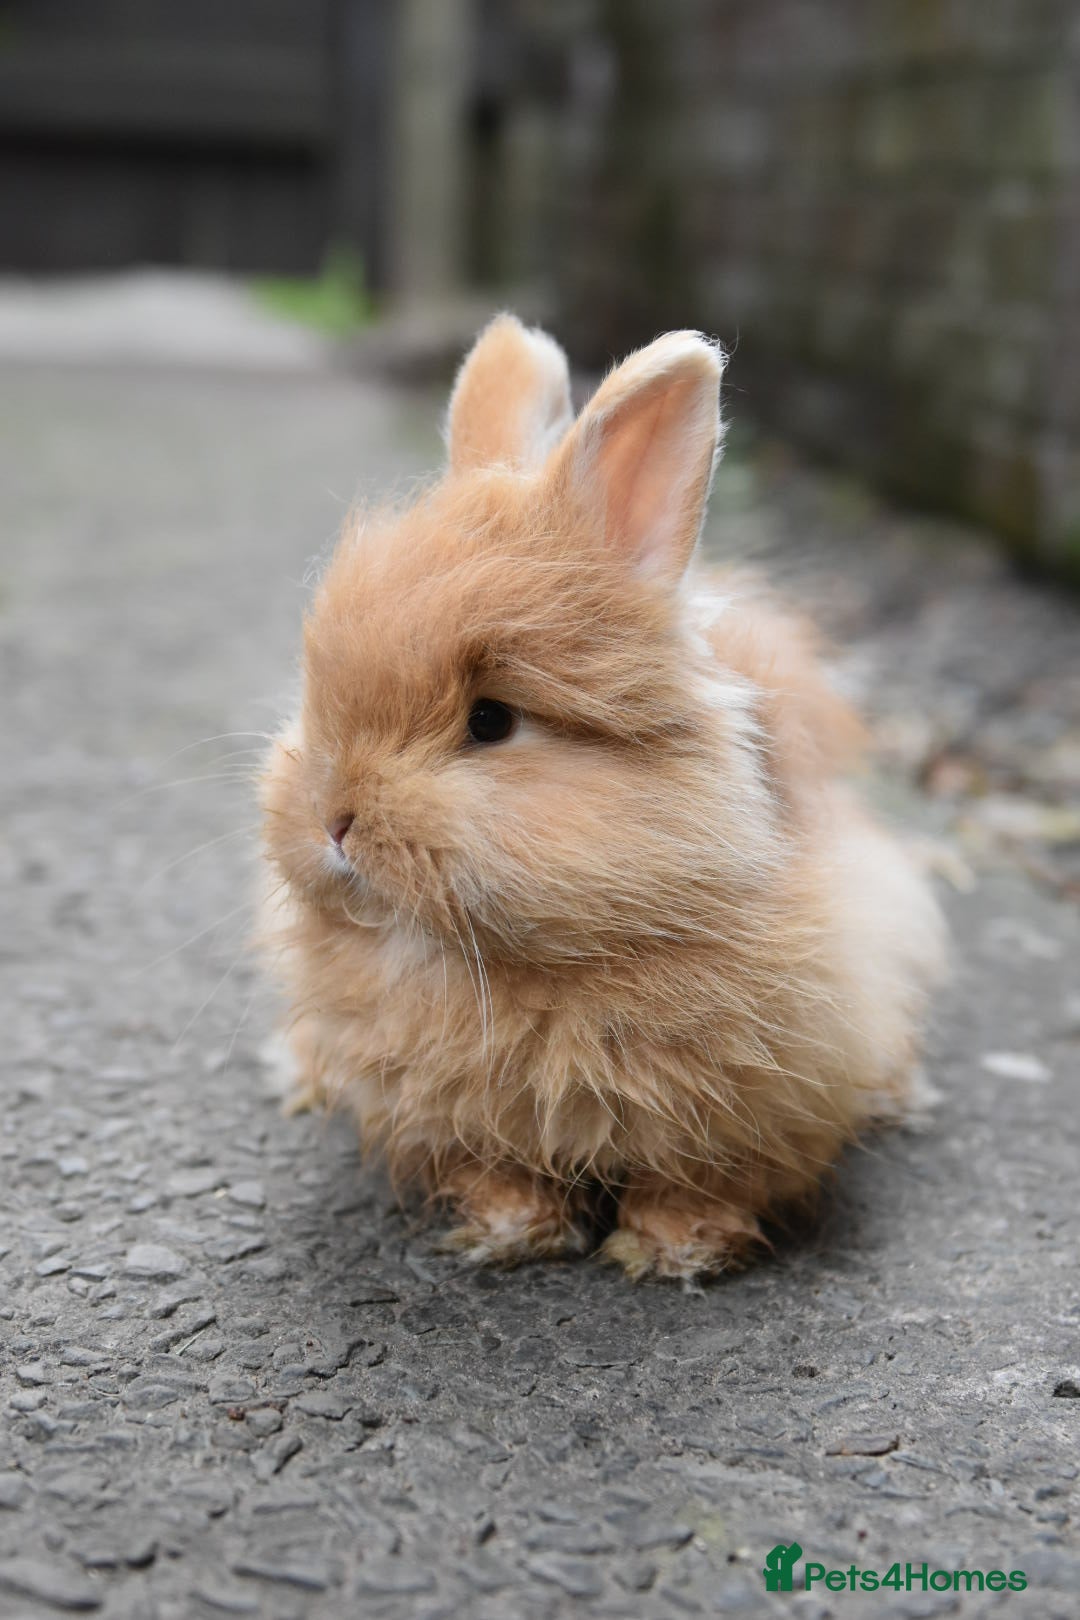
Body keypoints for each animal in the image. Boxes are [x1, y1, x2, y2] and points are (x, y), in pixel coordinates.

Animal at [259, 314, 946, 1282]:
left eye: (491, 721)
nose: (333, 820)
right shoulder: (456, 1123)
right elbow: (490, 1168)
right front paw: (512, 1232)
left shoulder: (761, 1100)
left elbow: (702, 1180)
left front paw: (674, 1251)